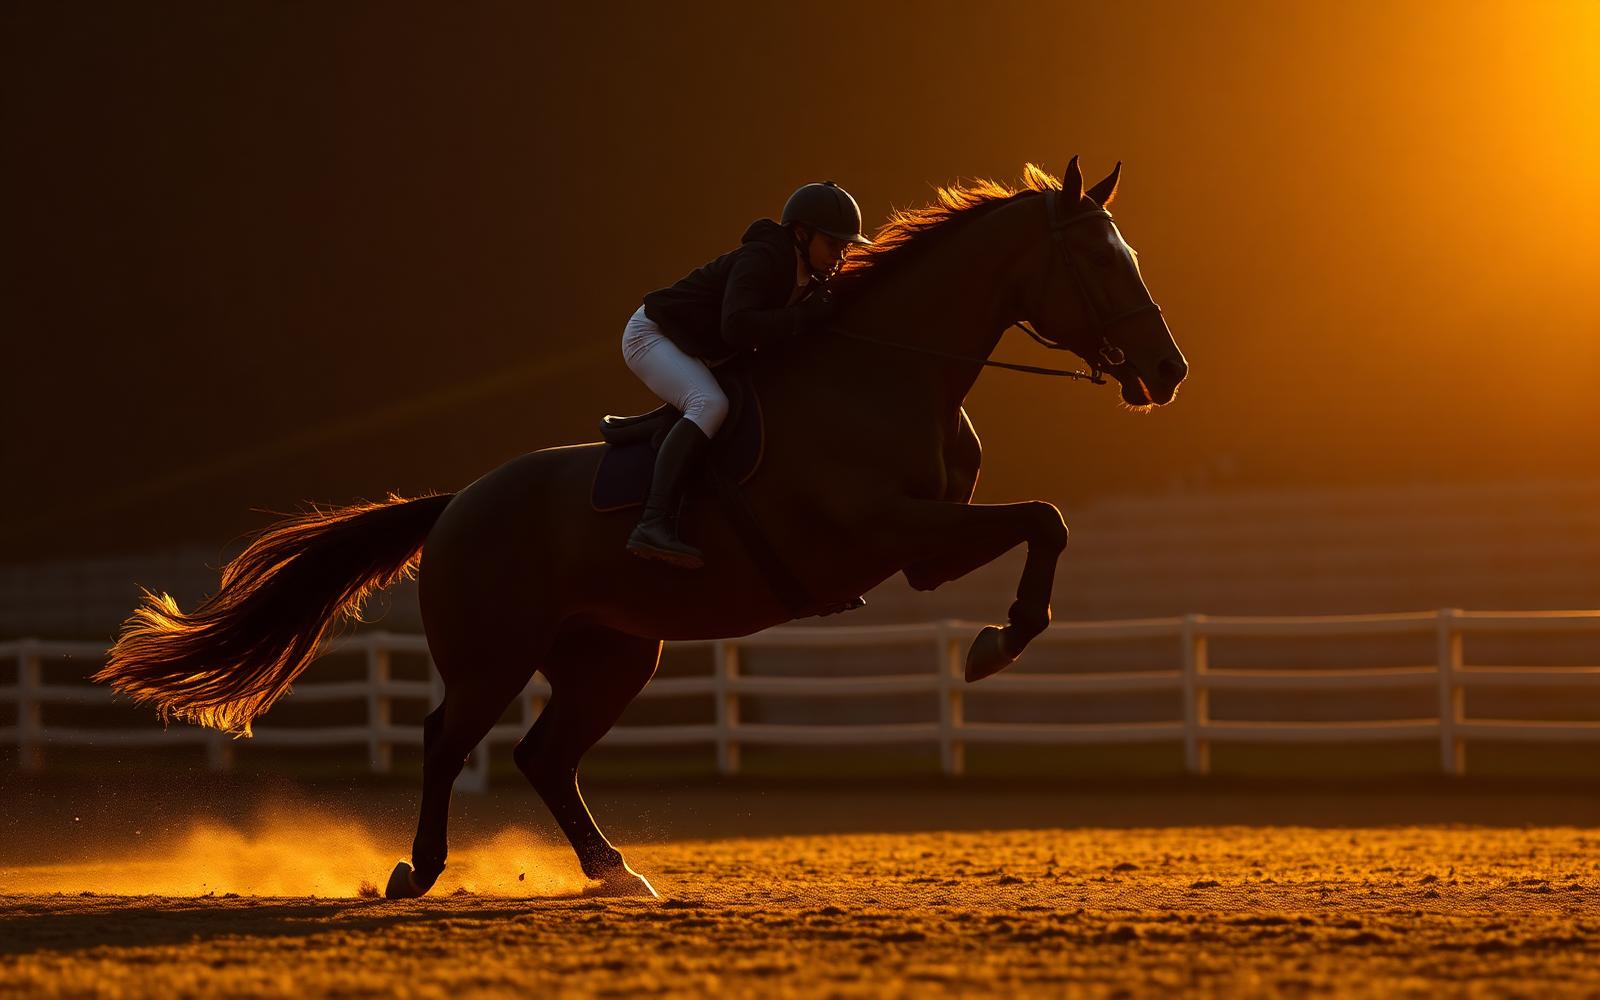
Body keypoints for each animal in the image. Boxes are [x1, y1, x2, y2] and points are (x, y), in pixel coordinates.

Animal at [94, 156, 1188, 899]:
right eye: (1101, 260)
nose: (1167, 370)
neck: (889, 374)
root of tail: (457, 503)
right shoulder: (891, 529)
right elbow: (1044, 519)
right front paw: (997, 645)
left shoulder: (923, 548)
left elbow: (1043, 524)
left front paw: (998, 640)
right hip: (494, 652)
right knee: (450, 737)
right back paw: (421, 869)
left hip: (615, 652)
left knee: (544, 755)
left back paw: (615, 869)